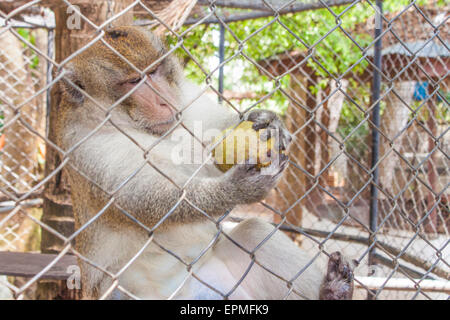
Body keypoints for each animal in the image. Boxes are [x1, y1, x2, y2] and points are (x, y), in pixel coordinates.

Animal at [54, 25, 356, 300]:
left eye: (154, 72)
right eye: (134, 82)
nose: (164, 101)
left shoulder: (186, 98)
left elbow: (211, 143)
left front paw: (268, 120)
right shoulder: (89, 147)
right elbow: (149, 197)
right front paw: (235, 189)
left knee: (254, 233)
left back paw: (332, 291)